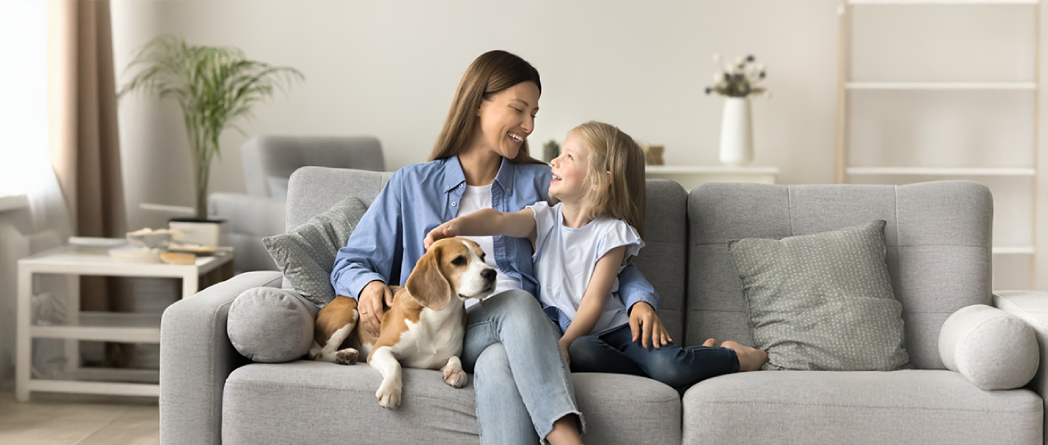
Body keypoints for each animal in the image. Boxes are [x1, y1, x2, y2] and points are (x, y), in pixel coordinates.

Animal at [308, 237, 496, 408]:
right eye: (458, 260)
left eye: (483, 257)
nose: (491, 273)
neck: (439, 316)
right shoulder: (379, 350)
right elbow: (395, 364)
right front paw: (391, 390)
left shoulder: (439, 360)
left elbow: (455, 358)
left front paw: (456, 371)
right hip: (350, 310)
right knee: (321, 354)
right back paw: (344, 355)